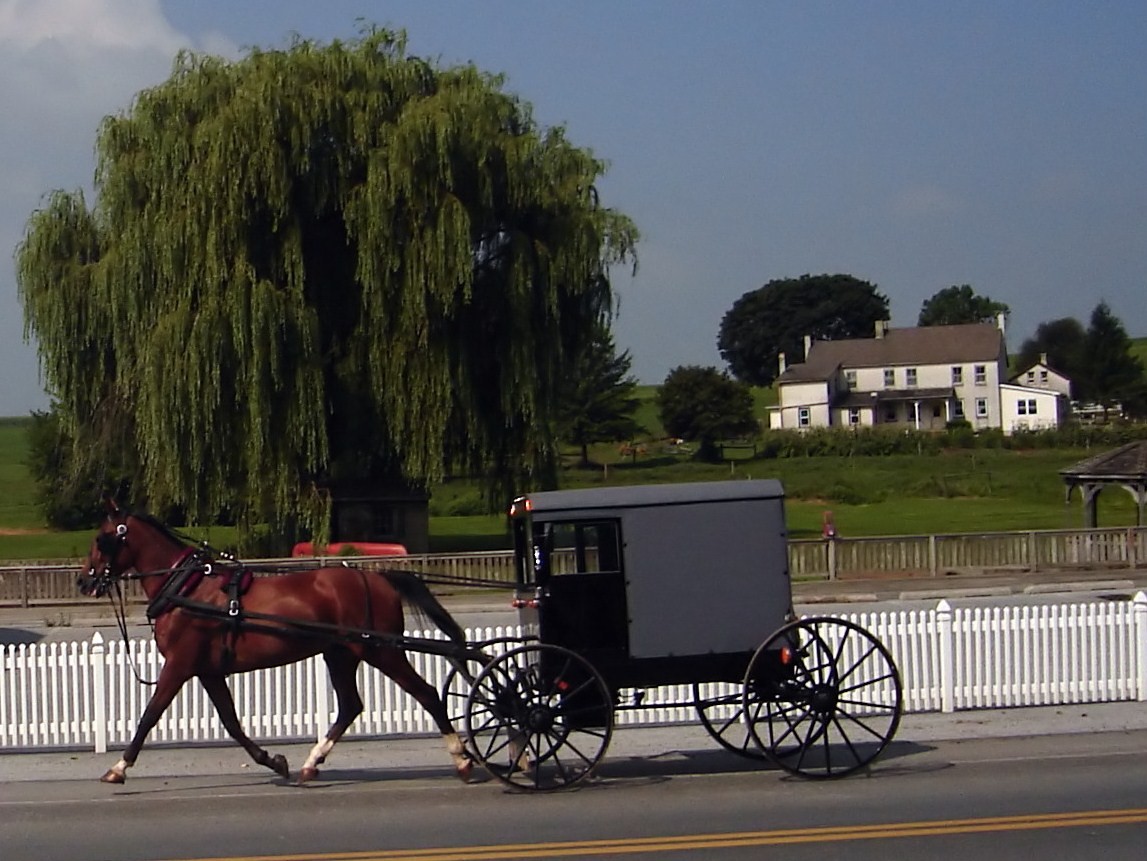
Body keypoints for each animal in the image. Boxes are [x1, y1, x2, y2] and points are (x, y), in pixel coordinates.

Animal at [77, 502, 479, 784]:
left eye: (101, 538)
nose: (84, 580)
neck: (187, 588)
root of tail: (378, 579)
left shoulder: (180, 664)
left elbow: (150, 715)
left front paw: (119, 767)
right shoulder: (207, 670)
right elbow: (231, 722)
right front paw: (273, 760)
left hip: (381, 650)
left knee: (426, 694)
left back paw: (461, 758)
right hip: (340, 654)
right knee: (350, 706)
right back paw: (311, 764)